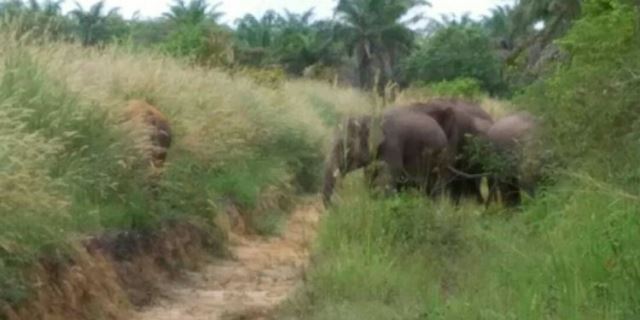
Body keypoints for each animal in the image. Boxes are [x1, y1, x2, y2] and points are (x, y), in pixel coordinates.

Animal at [322, 105, 452, 205]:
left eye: (345, 146)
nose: (335, 206)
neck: (369, 117)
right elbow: (370, 179)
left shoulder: (392, 146)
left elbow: (385, 181)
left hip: (440, 159)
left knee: (435, 188)